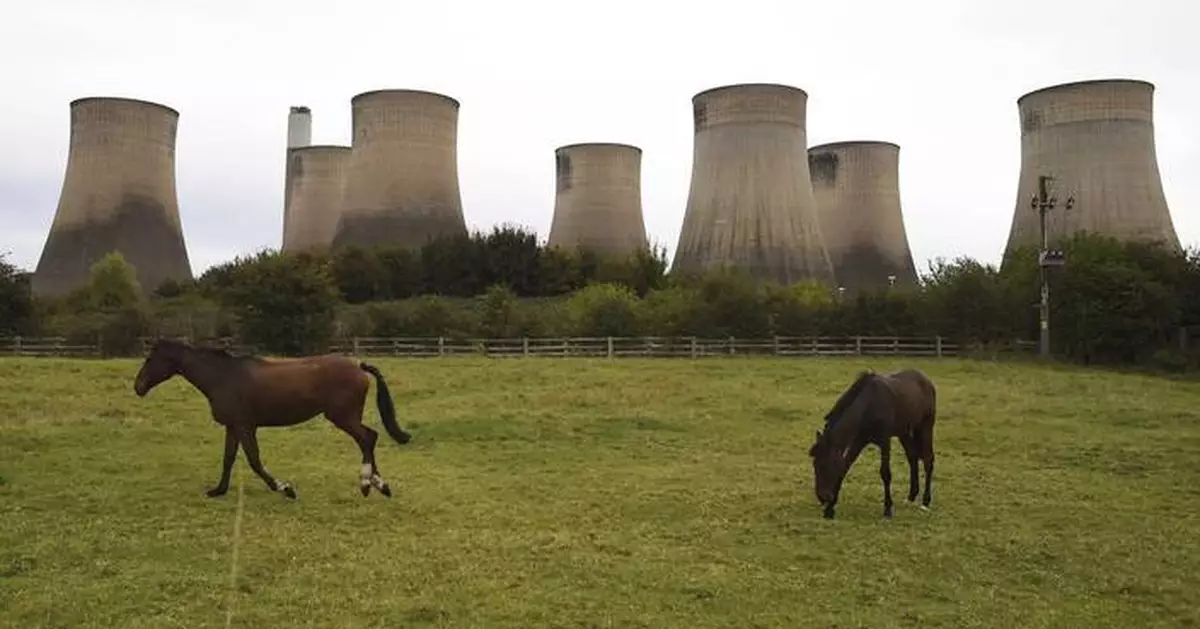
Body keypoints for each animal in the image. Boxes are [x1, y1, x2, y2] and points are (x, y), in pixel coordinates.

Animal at [132, 338, 412, 501]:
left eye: (150, 359)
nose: (138, 387)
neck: (223, 377)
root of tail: (359, 366)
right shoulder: (233, 427)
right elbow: (228, 459)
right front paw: (218, 490)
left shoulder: (245, 426)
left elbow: (254, 461)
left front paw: (285, 489)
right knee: (369, 439)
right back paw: (380, 485)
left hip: (343, 417)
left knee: (367, 438)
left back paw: (367, 483)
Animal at [806, 364, 936, 518]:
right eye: (815, 464)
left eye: (825, 464)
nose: (822, 497)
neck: (868, 405)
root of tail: (926, 380)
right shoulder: (858, 441)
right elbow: (844, 468)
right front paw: (830, 509)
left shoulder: (885, 441)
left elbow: (885, 473)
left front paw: (887, 509)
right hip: (904, 432)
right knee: (913, 457)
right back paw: (911, 496)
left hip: (925, 426)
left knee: (928, 460)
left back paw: (926, 501)